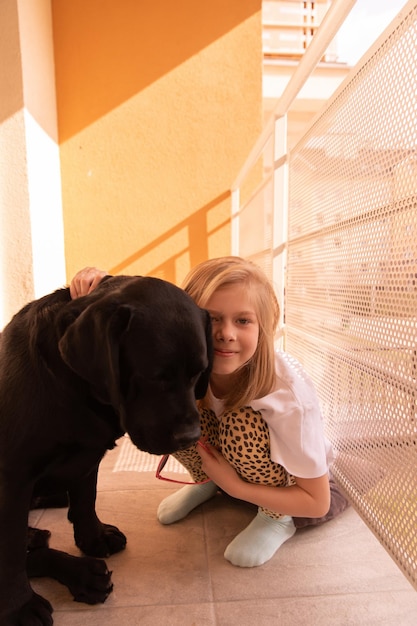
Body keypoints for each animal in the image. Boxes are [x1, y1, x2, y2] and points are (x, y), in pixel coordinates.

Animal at [0, 276, 210, 624]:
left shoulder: (88, 453)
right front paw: (19, 606)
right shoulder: (12, 477)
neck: (72, 384)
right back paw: (80, 573)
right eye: (155, 377)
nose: (190, 437)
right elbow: (11, 552)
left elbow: (87, 500)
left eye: (198, 373)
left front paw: (93, 538)